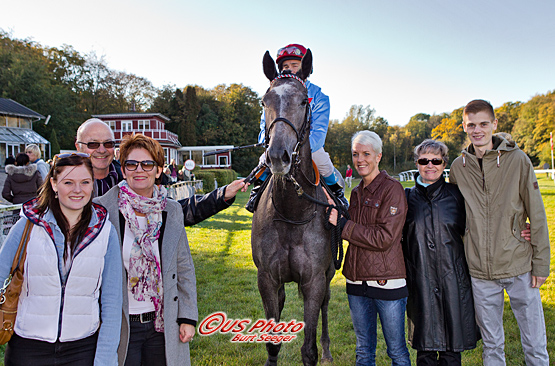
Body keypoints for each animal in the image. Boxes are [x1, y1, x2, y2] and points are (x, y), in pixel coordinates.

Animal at [252, 49, 334, 366]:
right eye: (265, 101)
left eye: (303, 101)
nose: (277, 156)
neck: (291, 212)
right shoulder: (266, 278)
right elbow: (272, 341)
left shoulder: (314, 280)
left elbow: (308, 350)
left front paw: (318, 349)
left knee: (325, 306)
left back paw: (328, 349)